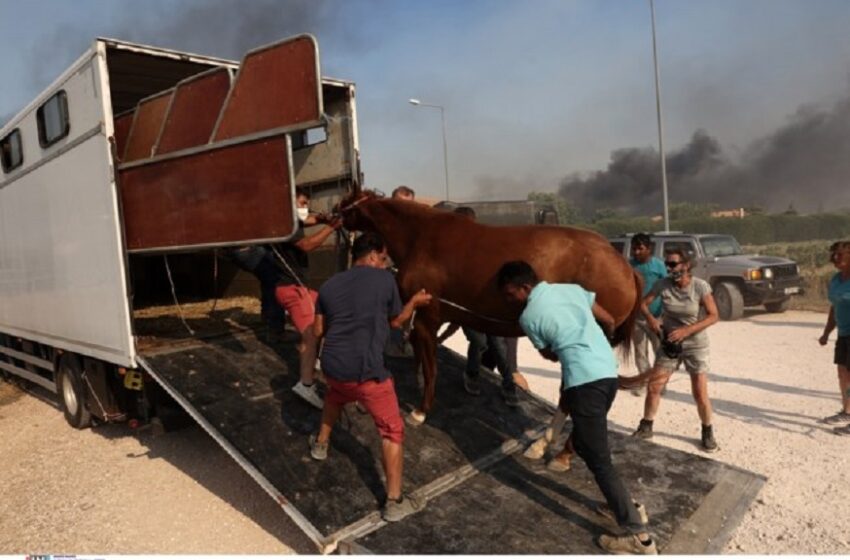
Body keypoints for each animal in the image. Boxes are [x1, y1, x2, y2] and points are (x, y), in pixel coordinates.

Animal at [338, 190, 644, 422]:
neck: (420, 235)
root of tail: (625, 266)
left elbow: (431, 367)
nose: (331, 214)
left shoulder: (427, 318)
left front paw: (422, 410)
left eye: (345, 202)